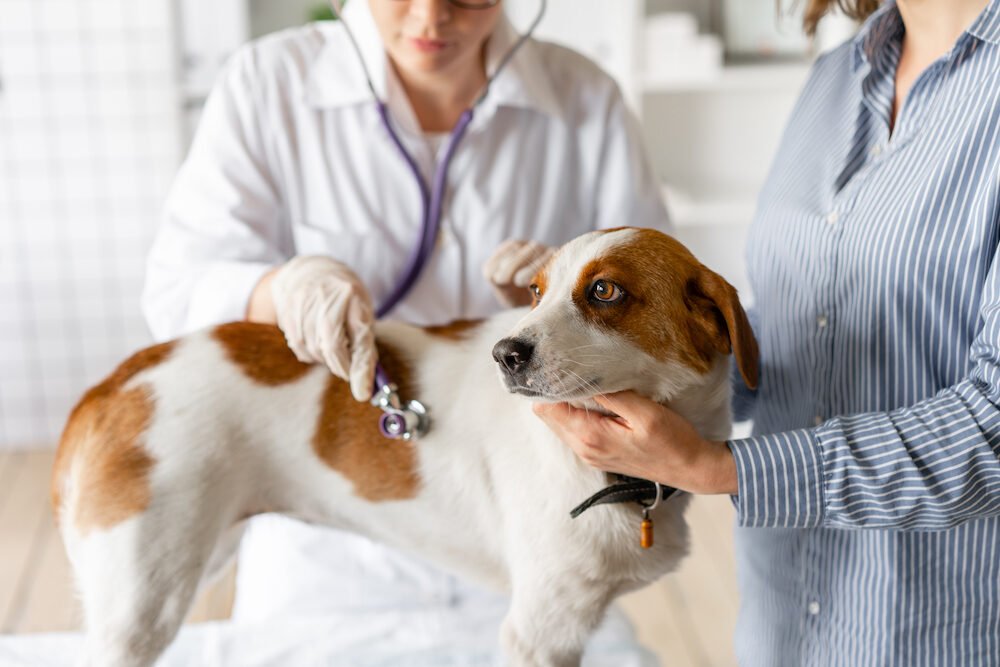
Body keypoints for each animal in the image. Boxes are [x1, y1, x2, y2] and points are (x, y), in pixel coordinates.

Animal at [52, 227, 756, 664]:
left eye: (605, 290)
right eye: (535, 292)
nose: (505, 353)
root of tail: (114, 382)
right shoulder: (542, 632)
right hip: (140, 606)